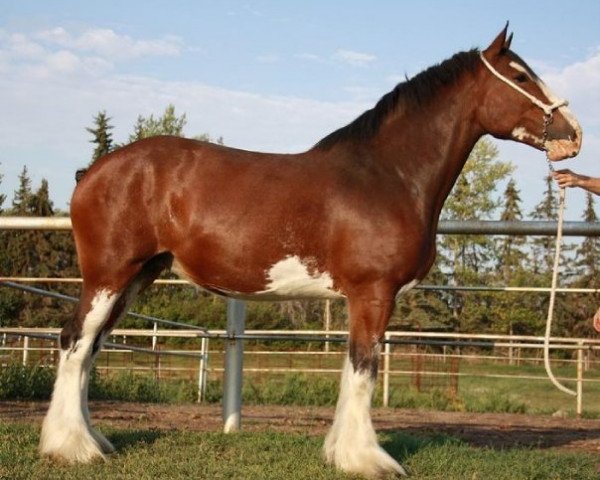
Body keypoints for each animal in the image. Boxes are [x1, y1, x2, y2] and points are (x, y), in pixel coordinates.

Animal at [41, 28, 580, 478]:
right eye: (520, 75)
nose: (573, 133)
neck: (387, 176)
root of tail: (93, 172)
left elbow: (352, 370)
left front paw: (342, 452)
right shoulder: (372, 293)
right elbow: (363, 370)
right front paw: (367, 460)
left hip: (135, 278)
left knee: (90, 348)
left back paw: (93, 441)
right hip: (109, 276)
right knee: (74, 342)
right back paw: (72, 448)